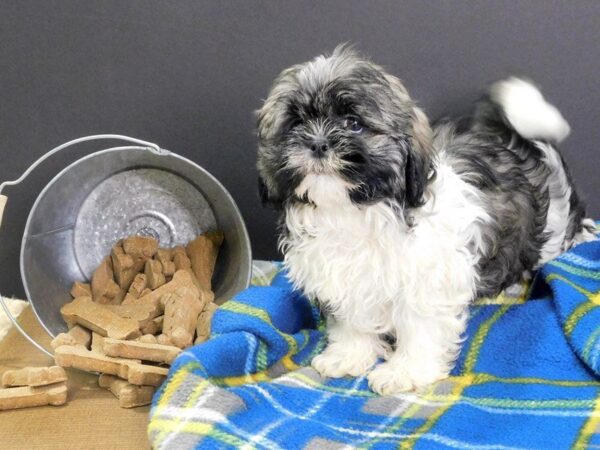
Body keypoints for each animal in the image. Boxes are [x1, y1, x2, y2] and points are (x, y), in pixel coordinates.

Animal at [254, 46, 596, 394]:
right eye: (296, 123)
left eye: (353, 123)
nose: (318, 143)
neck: (352, 211)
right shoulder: (342, 277)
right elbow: (352, 319)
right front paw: (349, 355)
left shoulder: (428, 280)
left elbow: (419, 326)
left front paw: (405, 371)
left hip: (551, 230)